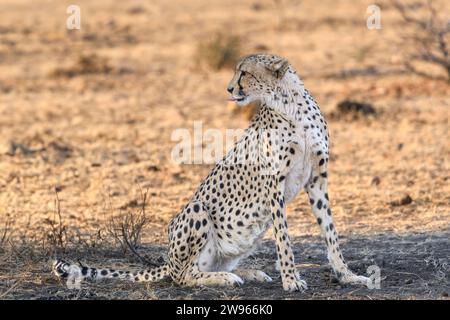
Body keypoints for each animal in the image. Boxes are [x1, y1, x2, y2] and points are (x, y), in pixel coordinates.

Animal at [53, 53, 370, 292]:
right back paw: (226, 278)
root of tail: (169, 259)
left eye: (244, 73)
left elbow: (330, 231)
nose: (229, 89)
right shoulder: (274, 183)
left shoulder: (318, 179)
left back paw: (249, 272)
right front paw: (291, 280)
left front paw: (347, 275)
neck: (289, 103)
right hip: (196, 210)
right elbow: (285, 239)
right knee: (183, 276)